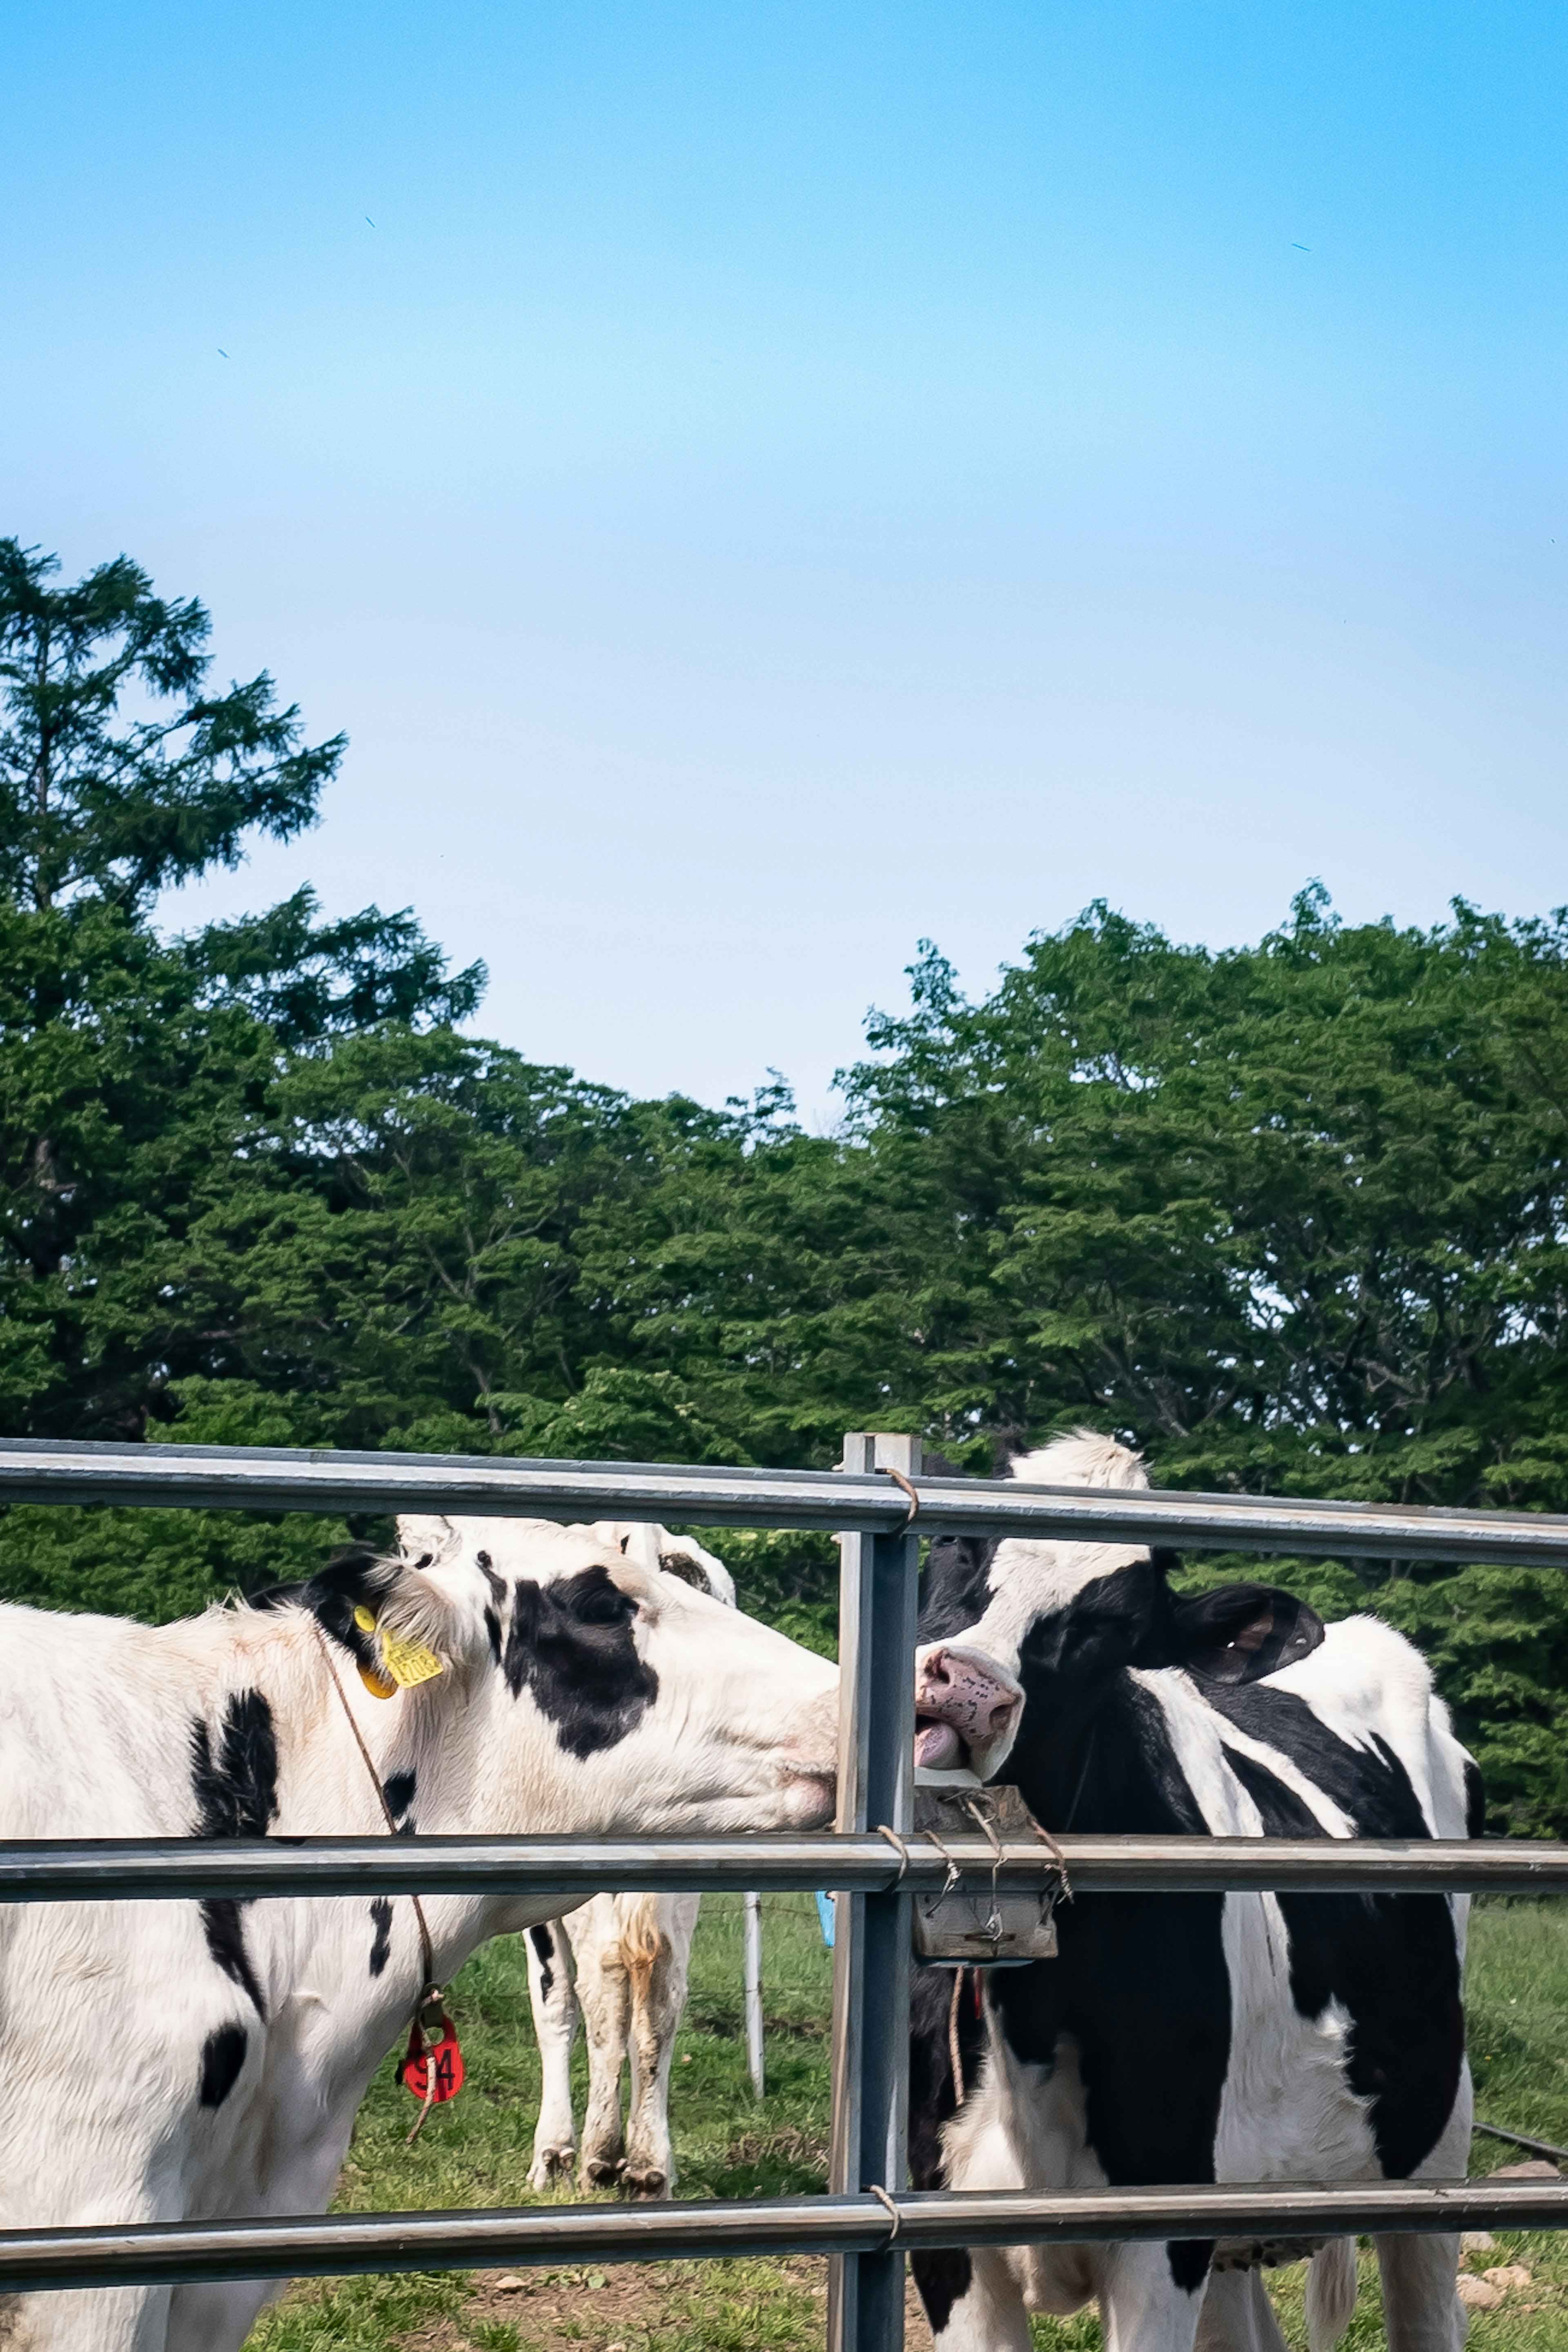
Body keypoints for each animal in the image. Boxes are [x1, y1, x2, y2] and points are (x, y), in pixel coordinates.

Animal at [517, 1514, 733, 2192]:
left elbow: (554, 2002)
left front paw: (552, 2152)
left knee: (605, 1980)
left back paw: (599, 2153)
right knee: (663, 1985)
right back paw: (650, 2164)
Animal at [912, 1420, 1476, 2352]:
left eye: (1116, 1622)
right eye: (958, 1541)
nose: (966, 1687)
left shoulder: (1160, 2226)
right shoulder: (941, 2225)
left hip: (1435, 2144)